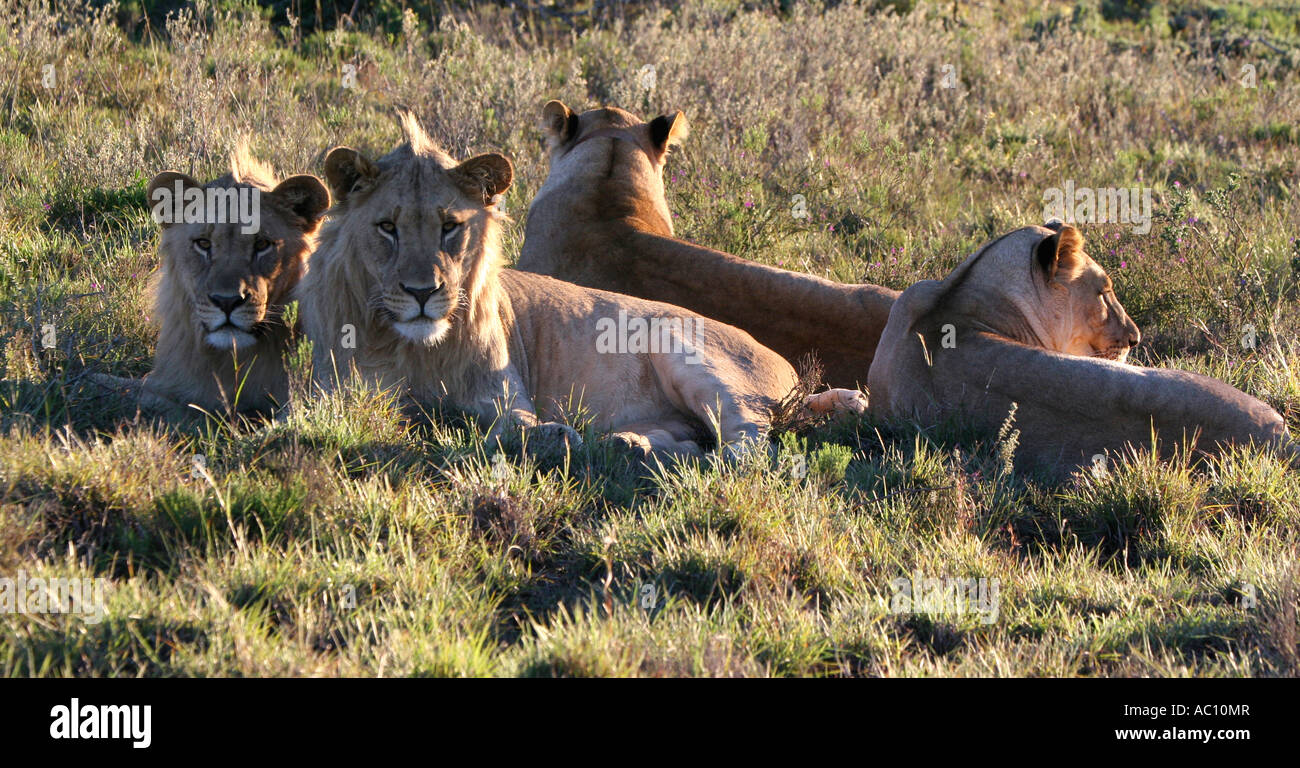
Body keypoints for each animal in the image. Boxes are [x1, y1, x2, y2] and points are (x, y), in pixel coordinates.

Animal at [298, 114, 865, 458]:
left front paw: (549, 435)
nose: (422, 293)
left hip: (683, 348)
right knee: (697, 439)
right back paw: (630, 445)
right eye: (387, 227)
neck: (416, 347)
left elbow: (509, 426)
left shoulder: (506, 397)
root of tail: (791, 371)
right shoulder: (337, 396)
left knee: (752, 442)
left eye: (449, 227)